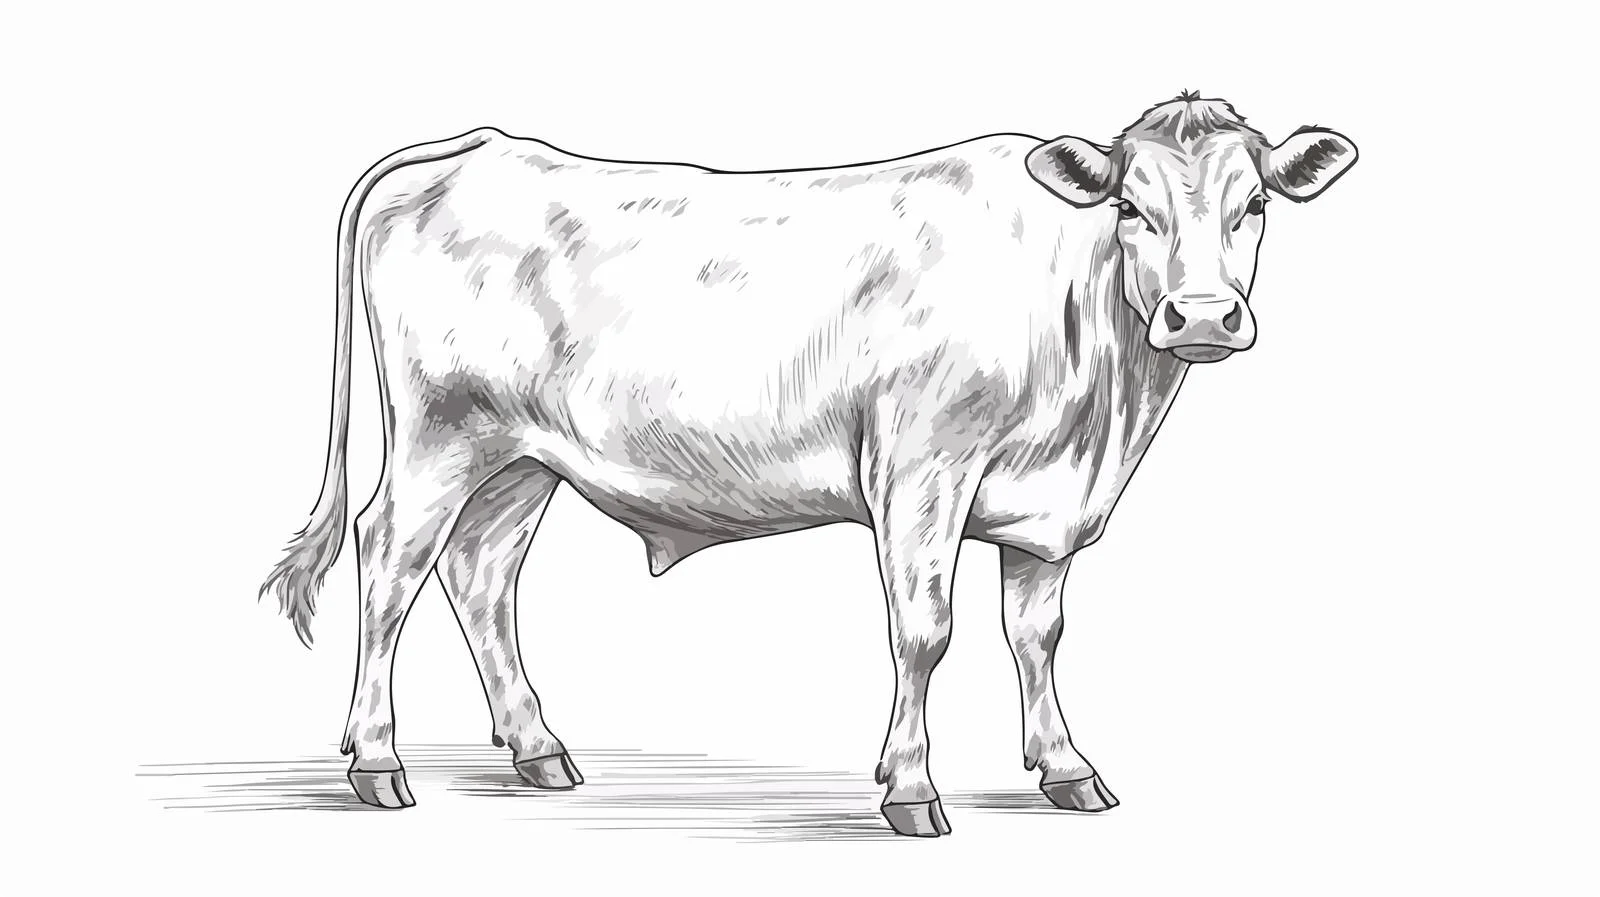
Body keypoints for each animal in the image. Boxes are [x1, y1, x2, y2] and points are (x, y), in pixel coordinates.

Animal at [261, 92, 1357, 836]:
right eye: (1131, 207)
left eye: (1254, 205)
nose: (1201, 317)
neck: (1096, 402)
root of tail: (478, 147)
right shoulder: (920, 469)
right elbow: (925, 632)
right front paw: (910, 788)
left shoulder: (1046, 510)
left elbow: (1037, 635)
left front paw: (1067, 770)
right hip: (440, 433)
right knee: (388, 564)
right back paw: (376, 764)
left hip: (521, 459)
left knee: (479, 575)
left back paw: (539, 751)